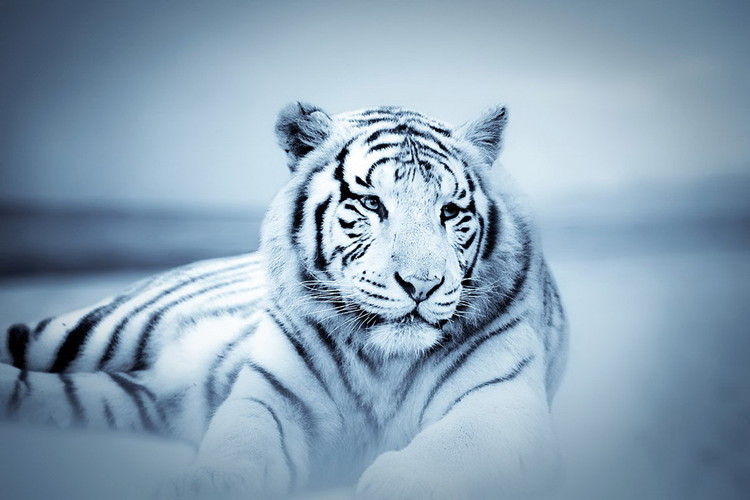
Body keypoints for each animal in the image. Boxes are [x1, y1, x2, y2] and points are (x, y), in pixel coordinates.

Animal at [0, 102, 568, 499]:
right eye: (371, 203)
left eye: (450, 211)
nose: (422, 284)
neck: (385, 361)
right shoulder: (274, 396)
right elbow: (242, 442)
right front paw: (206, 485)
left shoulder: (499, 400)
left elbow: (452, 449)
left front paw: (399, 486)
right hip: (88, 332)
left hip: (120, 396)